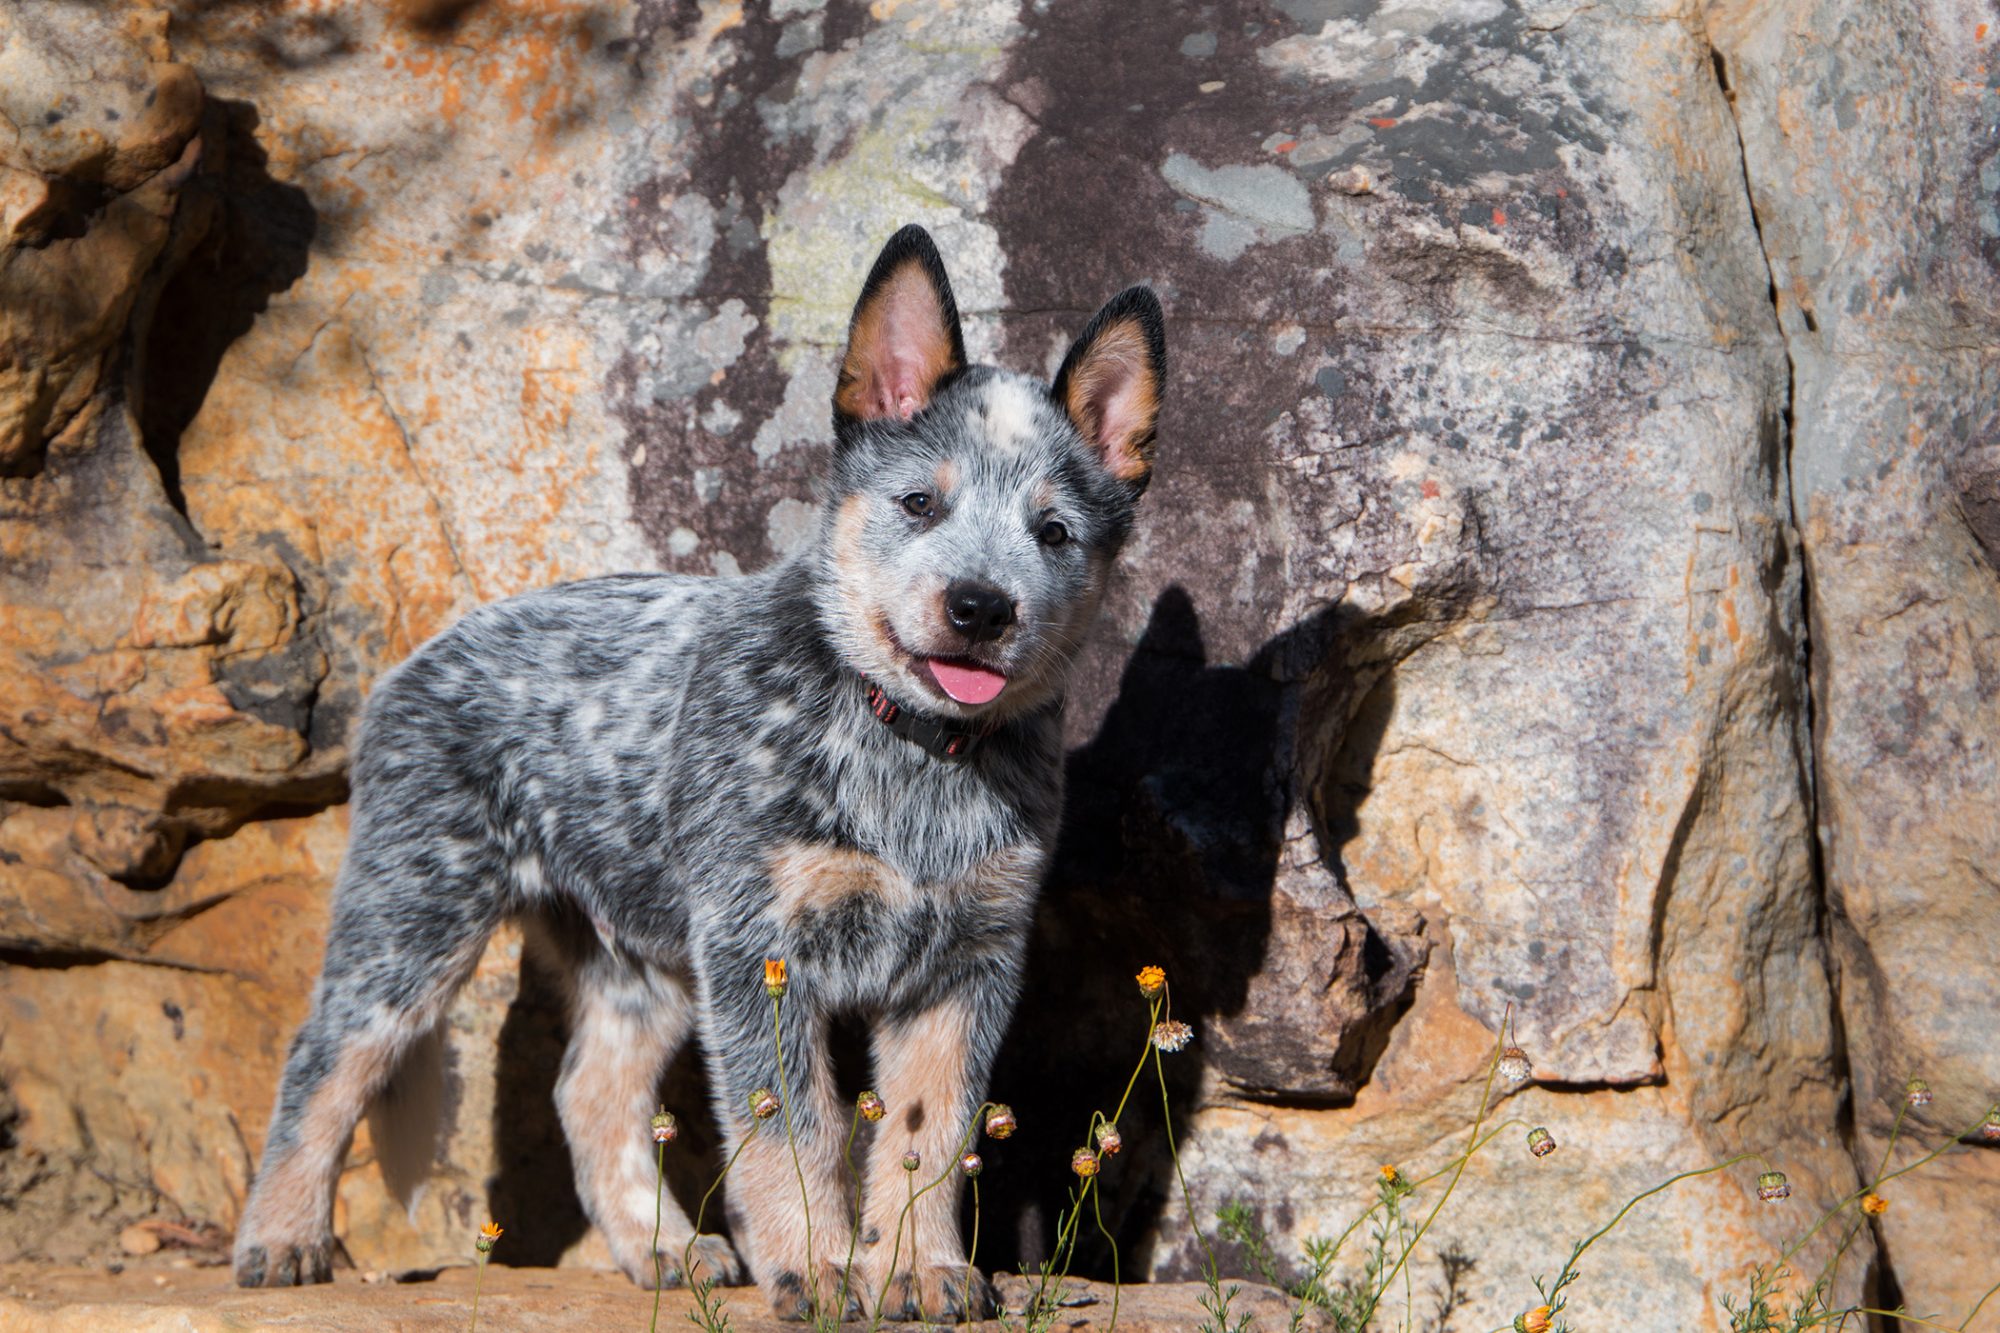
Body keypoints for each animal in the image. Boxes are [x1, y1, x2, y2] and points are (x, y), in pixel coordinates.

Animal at [230, 223, 1168, 1312]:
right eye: (918, 503)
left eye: (1053, 532)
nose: (980, 606)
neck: (908, 752)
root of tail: (421, 653)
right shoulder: (760, 951)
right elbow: (792, 1126)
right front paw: (817, 1263)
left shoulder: (965, 965)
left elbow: (927, 1132)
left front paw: (918, 1266)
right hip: (416, 915)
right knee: (325, 1057)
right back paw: (282, 1239)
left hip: (641, 953)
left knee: (588, 1090)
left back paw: (663, 1248)